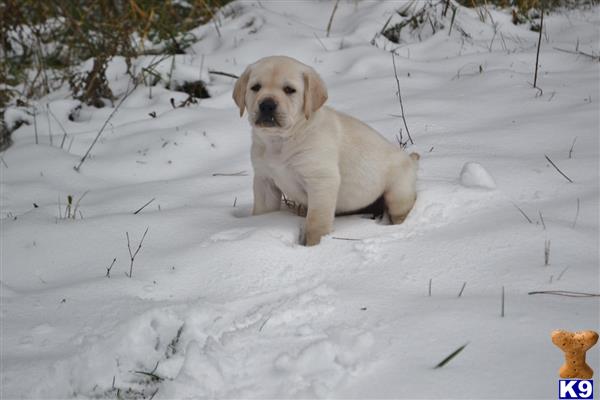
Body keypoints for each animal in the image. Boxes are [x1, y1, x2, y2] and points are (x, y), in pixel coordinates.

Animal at [232, 55, 420, 245]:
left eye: (289, 90)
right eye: (255, 87)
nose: (267, 105)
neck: (281, 141)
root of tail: (411, 160)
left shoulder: (321, 181)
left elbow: (317, 223)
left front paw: (315, 245)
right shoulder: (265, 180)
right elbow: (262, 212)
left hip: (397, 192)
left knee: (401, 210)